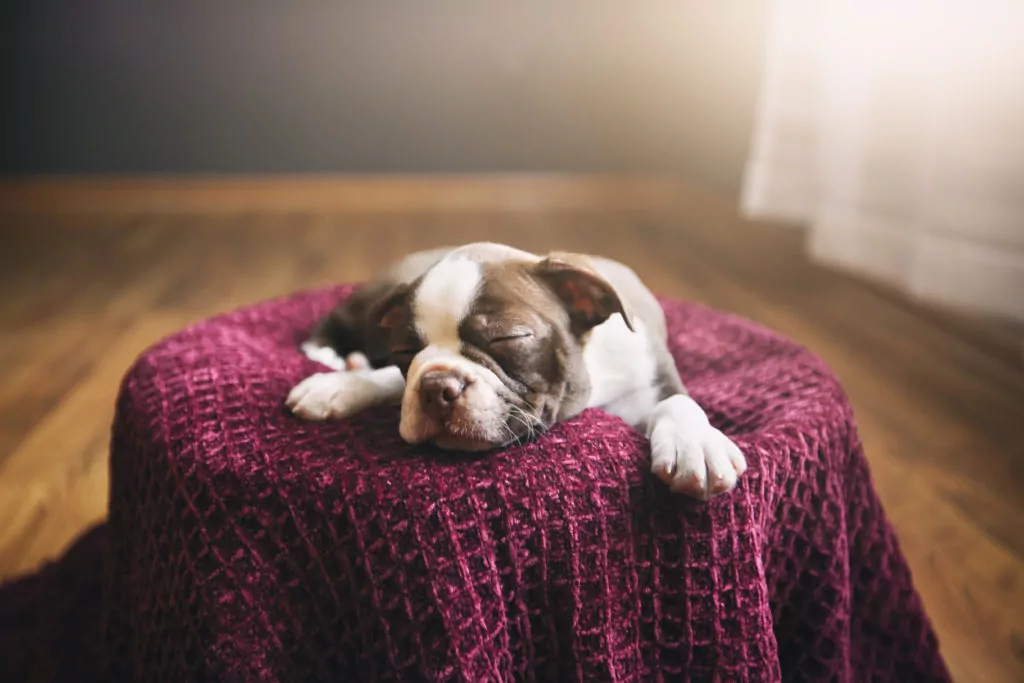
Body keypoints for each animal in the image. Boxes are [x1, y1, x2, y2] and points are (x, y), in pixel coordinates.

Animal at [286, 242, 745, 499]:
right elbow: (390, 382)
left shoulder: (654, 381)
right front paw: (340, 385)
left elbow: (679, 402)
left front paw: (695, 442)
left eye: (508, 339)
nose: (436, 387)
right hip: (372, 298)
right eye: (403, 350)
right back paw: (331, 356)